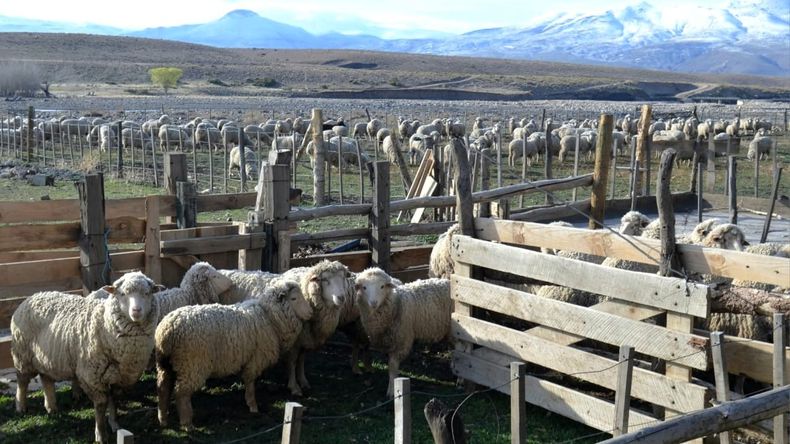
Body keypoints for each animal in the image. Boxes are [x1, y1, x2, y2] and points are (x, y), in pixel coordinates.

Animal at [12, 272, 159, 443]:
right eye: (122, 294)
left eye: (147, 293)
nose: (136, 311)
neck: (104, 325)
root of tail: (31, 297)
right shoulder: (92, 376)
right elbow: (101, 405)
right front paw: (101, 434)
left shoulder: (117, 376)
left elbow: (113, 400)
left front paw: (115, 424)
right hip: (22, 356)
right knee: (22, 381)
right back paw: (21, 407)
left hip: (45, 359)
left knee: (46, 379)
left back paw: (51, 408)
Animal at [155, 278, 312, 430]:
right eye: (294, 298)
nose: (310, 313)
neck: (269, 317)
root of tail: (167, 330)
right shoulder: (255, 359)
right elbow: (250, 382)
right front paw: (253, 406)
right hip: (191, 364)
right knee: (181, 393)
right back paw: (187, 423)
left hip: (166, 365)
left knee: (163, 389)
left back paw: (163, 419)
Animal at [355, 268, 451, 397]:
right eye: (364, 287)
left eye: (382, 286)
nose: (373, 303)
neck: (396, 303)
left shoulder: (401, 340)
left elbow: (392, 367)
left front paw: (392, 391)